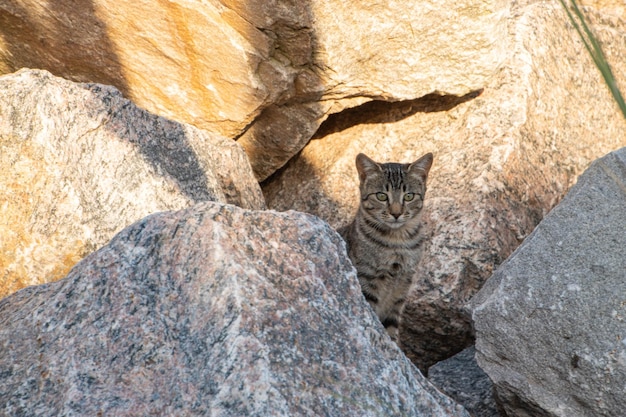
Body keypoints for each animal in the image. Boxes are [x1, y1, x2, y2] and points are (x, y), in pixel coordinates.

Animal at [338, 152, 432, 342]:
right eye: (381, 196)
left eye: (409, 196)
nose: (396, 213)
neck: (398, 243)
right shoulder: (367, 278)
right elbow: (370, 312)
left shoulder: (402, 287)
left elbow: (391, 325)